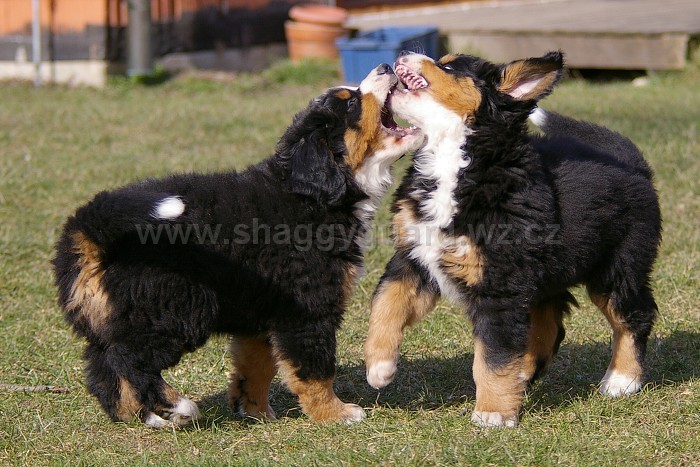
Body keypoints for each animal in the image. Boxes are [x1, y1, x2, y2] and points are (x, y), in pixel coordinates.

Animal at [52, 64, 424, 430]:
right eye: (351, 104)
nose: (385, 66)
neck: (309, 196)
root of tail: (88, 231)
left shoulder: (260, 315)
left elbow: (256, 368)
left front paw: (256, 412)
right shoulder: (308, 308)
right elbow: (315, 368)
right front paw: (335, 413)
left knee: (103, 370)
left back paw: (144, 415)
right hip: (174, 309)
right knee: (128, 359)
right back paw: (176, 406)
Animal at [364, 51, 664, 428]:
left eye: (449, 67)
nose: (402, 54)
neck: (456, 161)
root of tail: (633, 162)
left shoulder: (500, 286)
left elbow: (493, 355)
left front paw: (492, 414)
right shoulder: (414, 257)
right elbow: (386, 303)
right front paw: (379, 367)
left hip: (616, 266)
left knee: (634, 314)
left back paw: (622, 380)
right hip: (546, 276)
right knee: (549, 324)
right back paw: (523, 375)